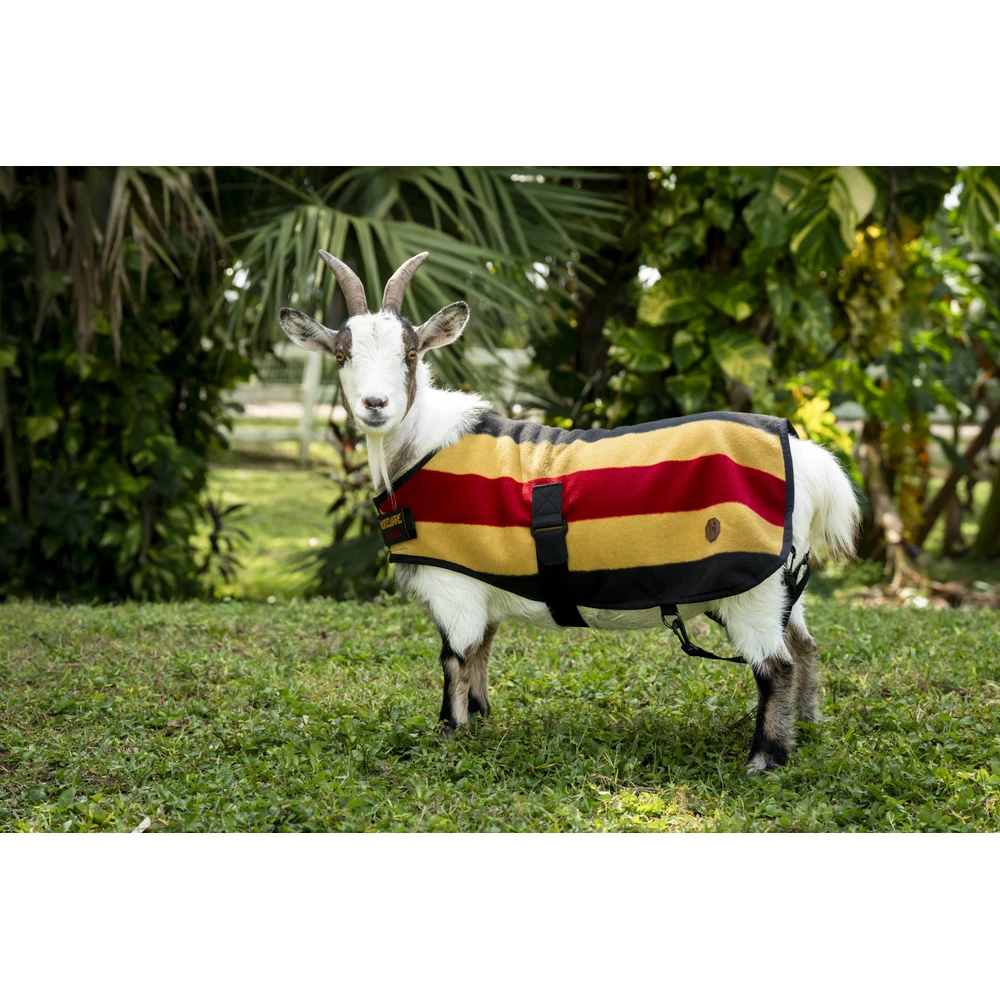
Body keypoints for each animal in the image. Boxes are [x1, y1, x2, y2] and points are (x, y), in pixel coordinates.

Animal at [279, 251, 861, 772]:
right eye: (341, 356)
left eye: (410, 355)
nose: (375, 404)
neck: (423, 447)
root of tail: (807, 457)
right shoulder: (484, 582)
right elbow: (481, 654)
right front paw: (481, 721)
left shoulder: (455, 589)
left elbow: (453, 660)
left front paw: (448, 735)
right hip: (781, 584)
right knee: (805, 648)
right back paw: (806, 727)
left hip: (751, 591)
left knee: (776, 666)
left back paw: (765, 757)